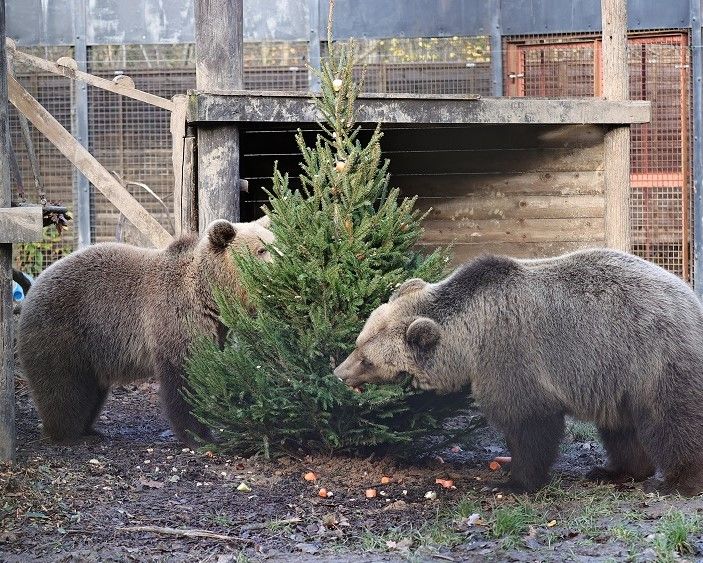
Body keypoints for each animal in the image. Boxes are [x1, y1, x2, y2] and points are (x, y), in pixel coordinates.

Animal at [17, 216, 274, 447]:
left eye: (274, 243)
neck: (209, 295)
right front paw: (200, 436)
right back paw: (68, 434)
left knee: (91, 392)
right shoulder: (175, 319)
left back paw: (89, 429)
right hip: (63, 333)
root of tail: (33, 288)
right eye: (261, 250)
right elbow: (184, 379)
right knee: (63, 388)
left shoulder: (213, 330)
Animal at [334, 248, 703, 496]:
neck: (470, 335)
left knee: (673, 419)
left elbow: (529, 421)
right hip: (616, 377)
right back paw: (614, 471)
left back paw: (677, 482)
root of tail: (690, 297)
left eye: (367, 359)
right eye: (358, 342)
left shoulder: (510, 354)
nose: (339, 373)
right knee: (620, 427)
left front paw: (514, 482)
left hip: (654, 358)